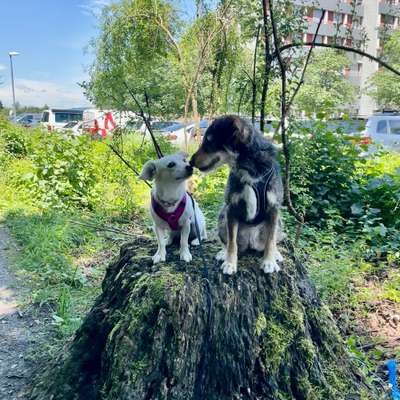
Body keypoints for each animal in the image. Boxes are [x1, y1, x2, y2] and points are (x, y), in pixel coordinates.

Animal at [191, 114, 282, 274]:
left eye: (209, 140)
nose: (190, 161)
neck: (248, 168)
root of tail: (251, 242)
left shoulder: (274, 208)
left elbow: (271, 239)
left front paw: (269, 261)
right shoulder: (231, 208)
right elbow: (232, 242)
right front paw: (230, 263)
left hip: (281, 223)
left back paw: (276, 254)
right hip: (222, 217)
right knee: (226, 241)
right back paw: (223, 253)